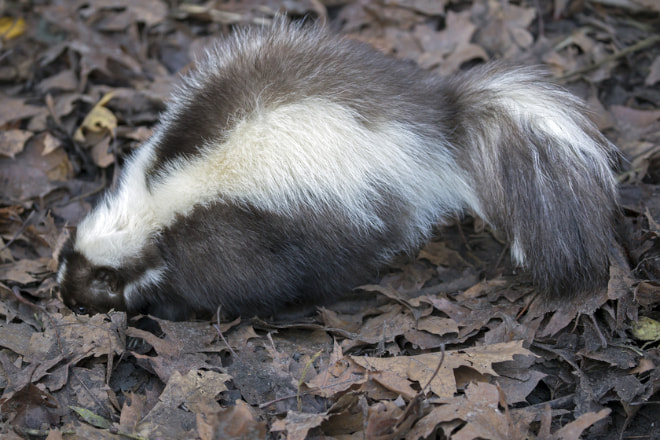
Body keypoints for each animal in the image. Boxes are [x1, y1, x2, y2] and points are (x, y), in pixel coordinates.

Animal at [55, 18, 620, 322]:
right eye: (64, 268)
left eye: (91, 290)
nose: (63, 301)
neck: (152, 205)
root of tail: (433, 121)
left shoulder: (227, 235)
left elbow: (238, 284)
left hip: (353, 206)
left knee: (346, 260)